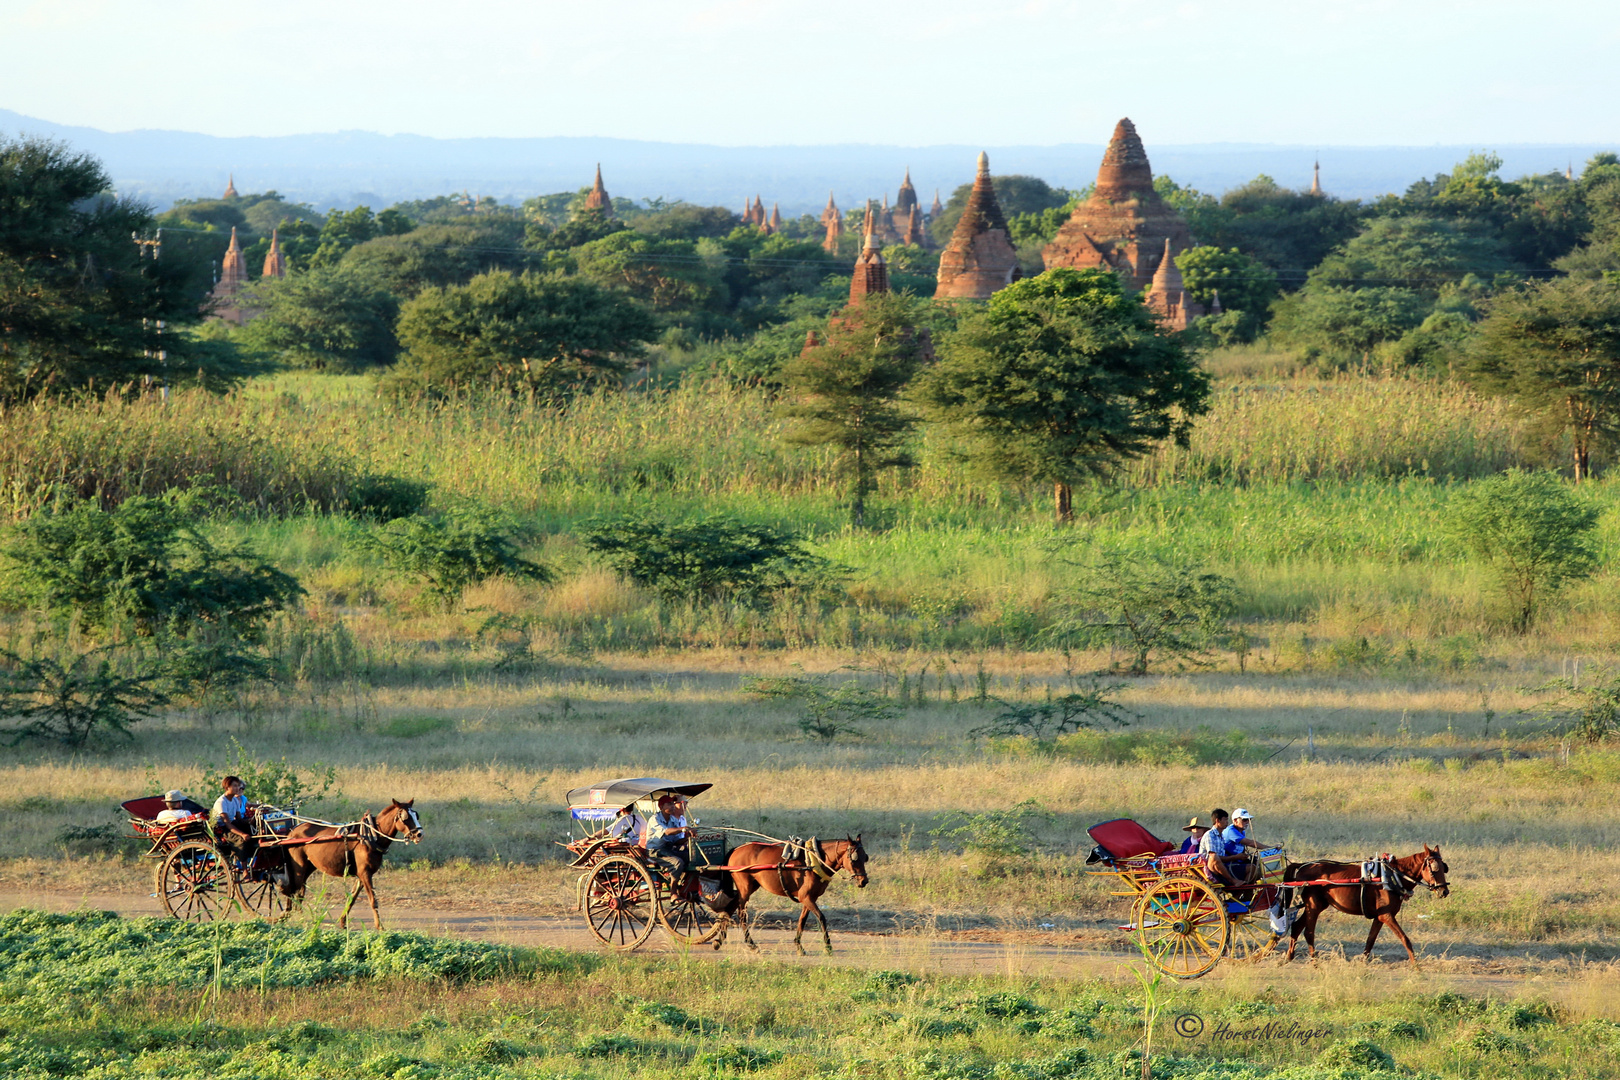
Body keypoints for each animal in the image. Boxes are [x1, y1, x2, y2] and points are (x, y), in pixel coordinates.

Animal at [283, 799, 424, 932]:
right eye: (405, 817)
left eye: (416, 815)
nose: (420, 834)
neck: (370, 836)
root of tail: (292, 831)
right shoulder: (365, 874)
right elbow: (373, 900)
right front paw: (380, 926)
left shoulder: (361, 876)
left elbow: (352, 899)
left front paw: (342, 922)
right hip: (299, 867)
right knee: (294, 889)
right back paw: (289, 916)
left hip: (309, 867)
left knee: (299, 892)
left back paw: (298, 916)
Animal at [729, 835, 868, 952]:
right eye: (854, 859)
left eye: (865, 857)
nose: (864, 881)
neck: (814, 861)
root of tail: (736, 849)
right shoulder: (805, 897)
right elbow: (821, 917)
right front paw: (828, 947)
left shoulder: (810, 898)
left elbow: (802, 920)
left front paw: (798, 945)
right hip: (745, 888)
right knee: (742, 913)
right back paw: (750, 943)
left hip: (752, 886)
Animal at [1283, 841, 1451, 965]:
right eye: (1434, 868)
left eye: (1444, 868)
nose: (1444, 891)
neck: (1392, 877)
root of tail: (1303, 866)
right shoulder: (1386, 915)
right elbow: (1405, 939)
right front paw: (1416, 965)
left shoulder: (1379, 917)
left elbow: (1370, 940)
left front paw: (1362, 962)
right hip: (1314, 905)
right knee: (1308, 932)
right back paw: (1314, 961)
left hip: (1316, 905)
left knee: (1297, 926)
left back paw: (1289, 956)